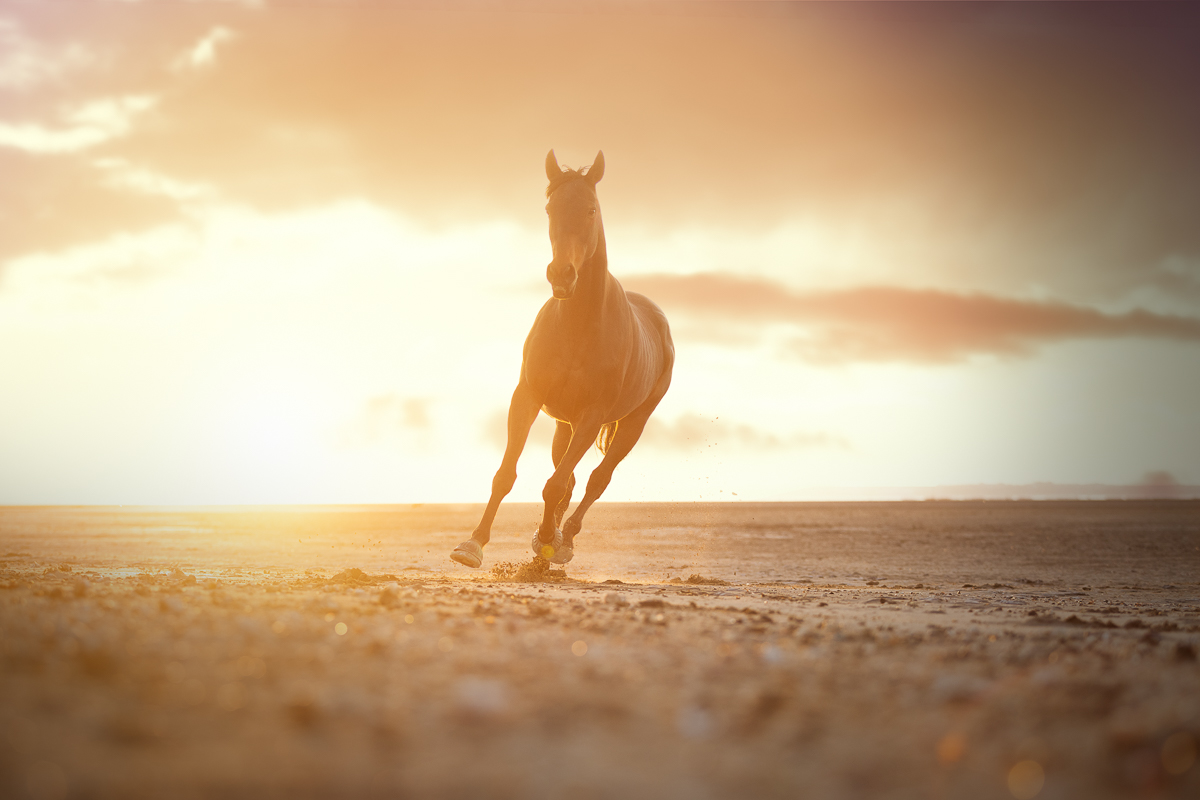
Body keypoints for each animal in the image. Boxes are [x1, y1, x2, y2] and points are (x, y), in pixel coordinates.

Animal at [450, 150, 675, 568]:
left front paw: (547, 540)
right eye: (550, 208)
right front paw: (473, 544)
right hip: (562, 425)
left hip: (632, 424)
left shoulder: (591, 416)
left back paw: (564, 537)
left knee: (595, 480)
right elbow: (507, 475)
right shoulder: (527, 398)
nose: (562, 274)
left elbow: (556, 484)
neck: (577, 325)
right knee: (568, 477)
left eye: (591, 209)